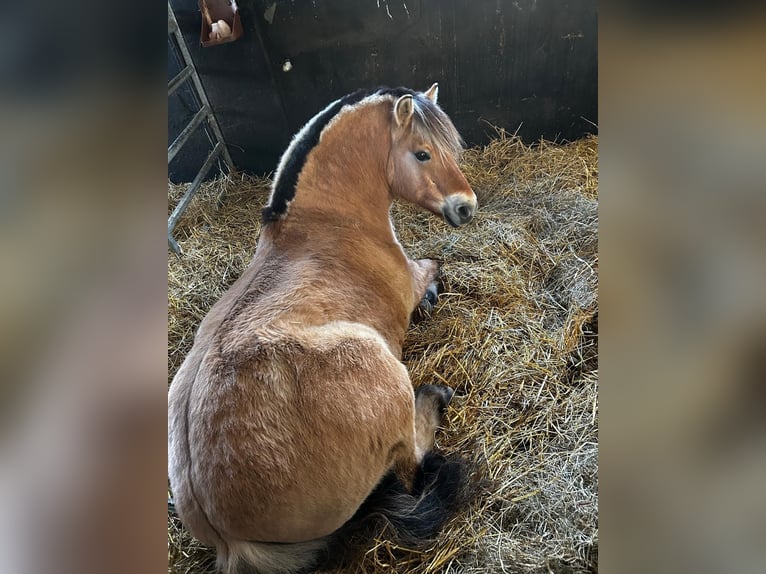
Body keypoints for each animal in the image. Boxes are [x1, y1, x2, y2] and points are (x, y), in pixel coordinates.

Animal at [171, 82, 476, 574]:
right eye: (422, 153)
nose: (466, 206)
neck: (326, 222)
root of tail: (229, 540)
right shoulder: (411, 278)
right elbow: (434, 265)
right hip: (380, 366)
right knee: (411, 462)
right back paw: (434, 397)